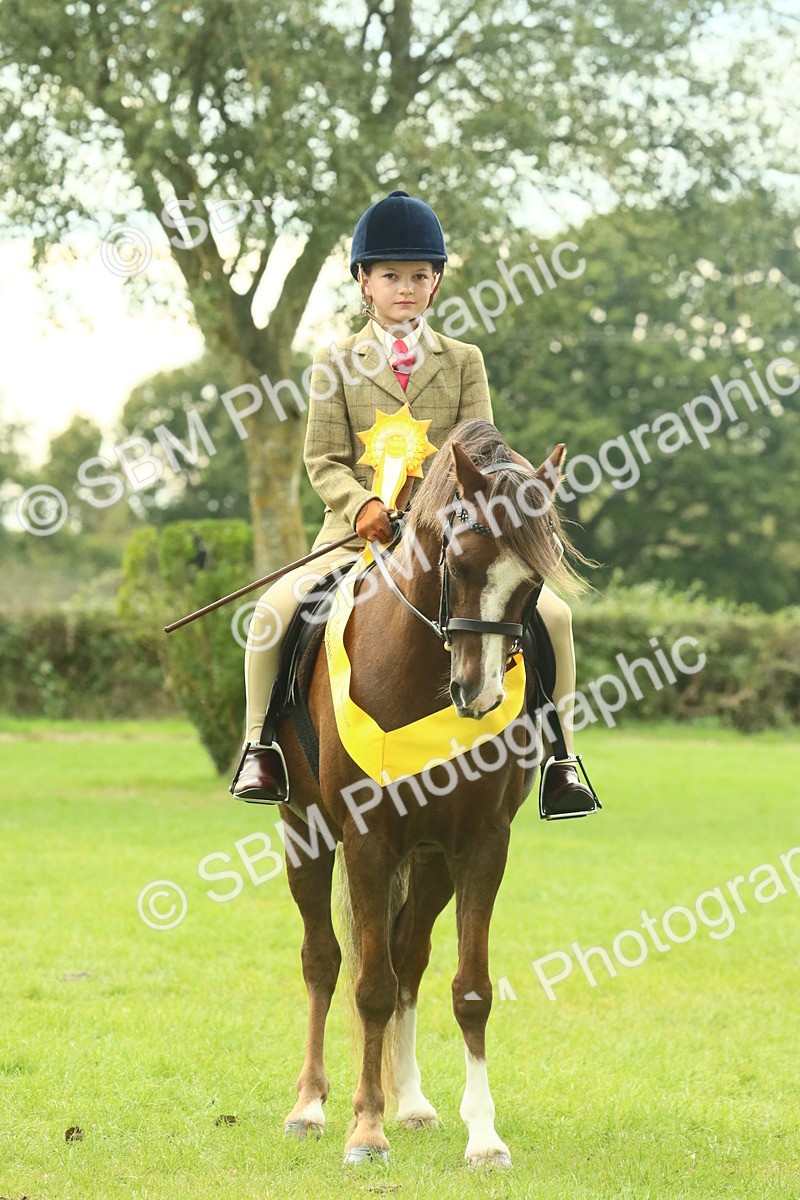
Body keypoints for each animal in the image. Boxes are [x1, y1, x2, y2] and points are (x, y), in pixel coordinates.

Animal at [274, 418, 583, 1167]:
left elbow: (466, 989)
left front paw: (484, 1137)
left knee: (409, 956)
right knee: (324, 960)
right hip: (304, 831)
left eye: (534, 580)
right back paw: (310, 1107)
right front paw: (364, 1130)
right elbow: (369, 986)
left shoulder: (480, 845)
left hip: (431, 857)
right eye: (459, 561)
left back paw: (411, 1102)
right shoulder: (366, 839)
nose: (479, 694)